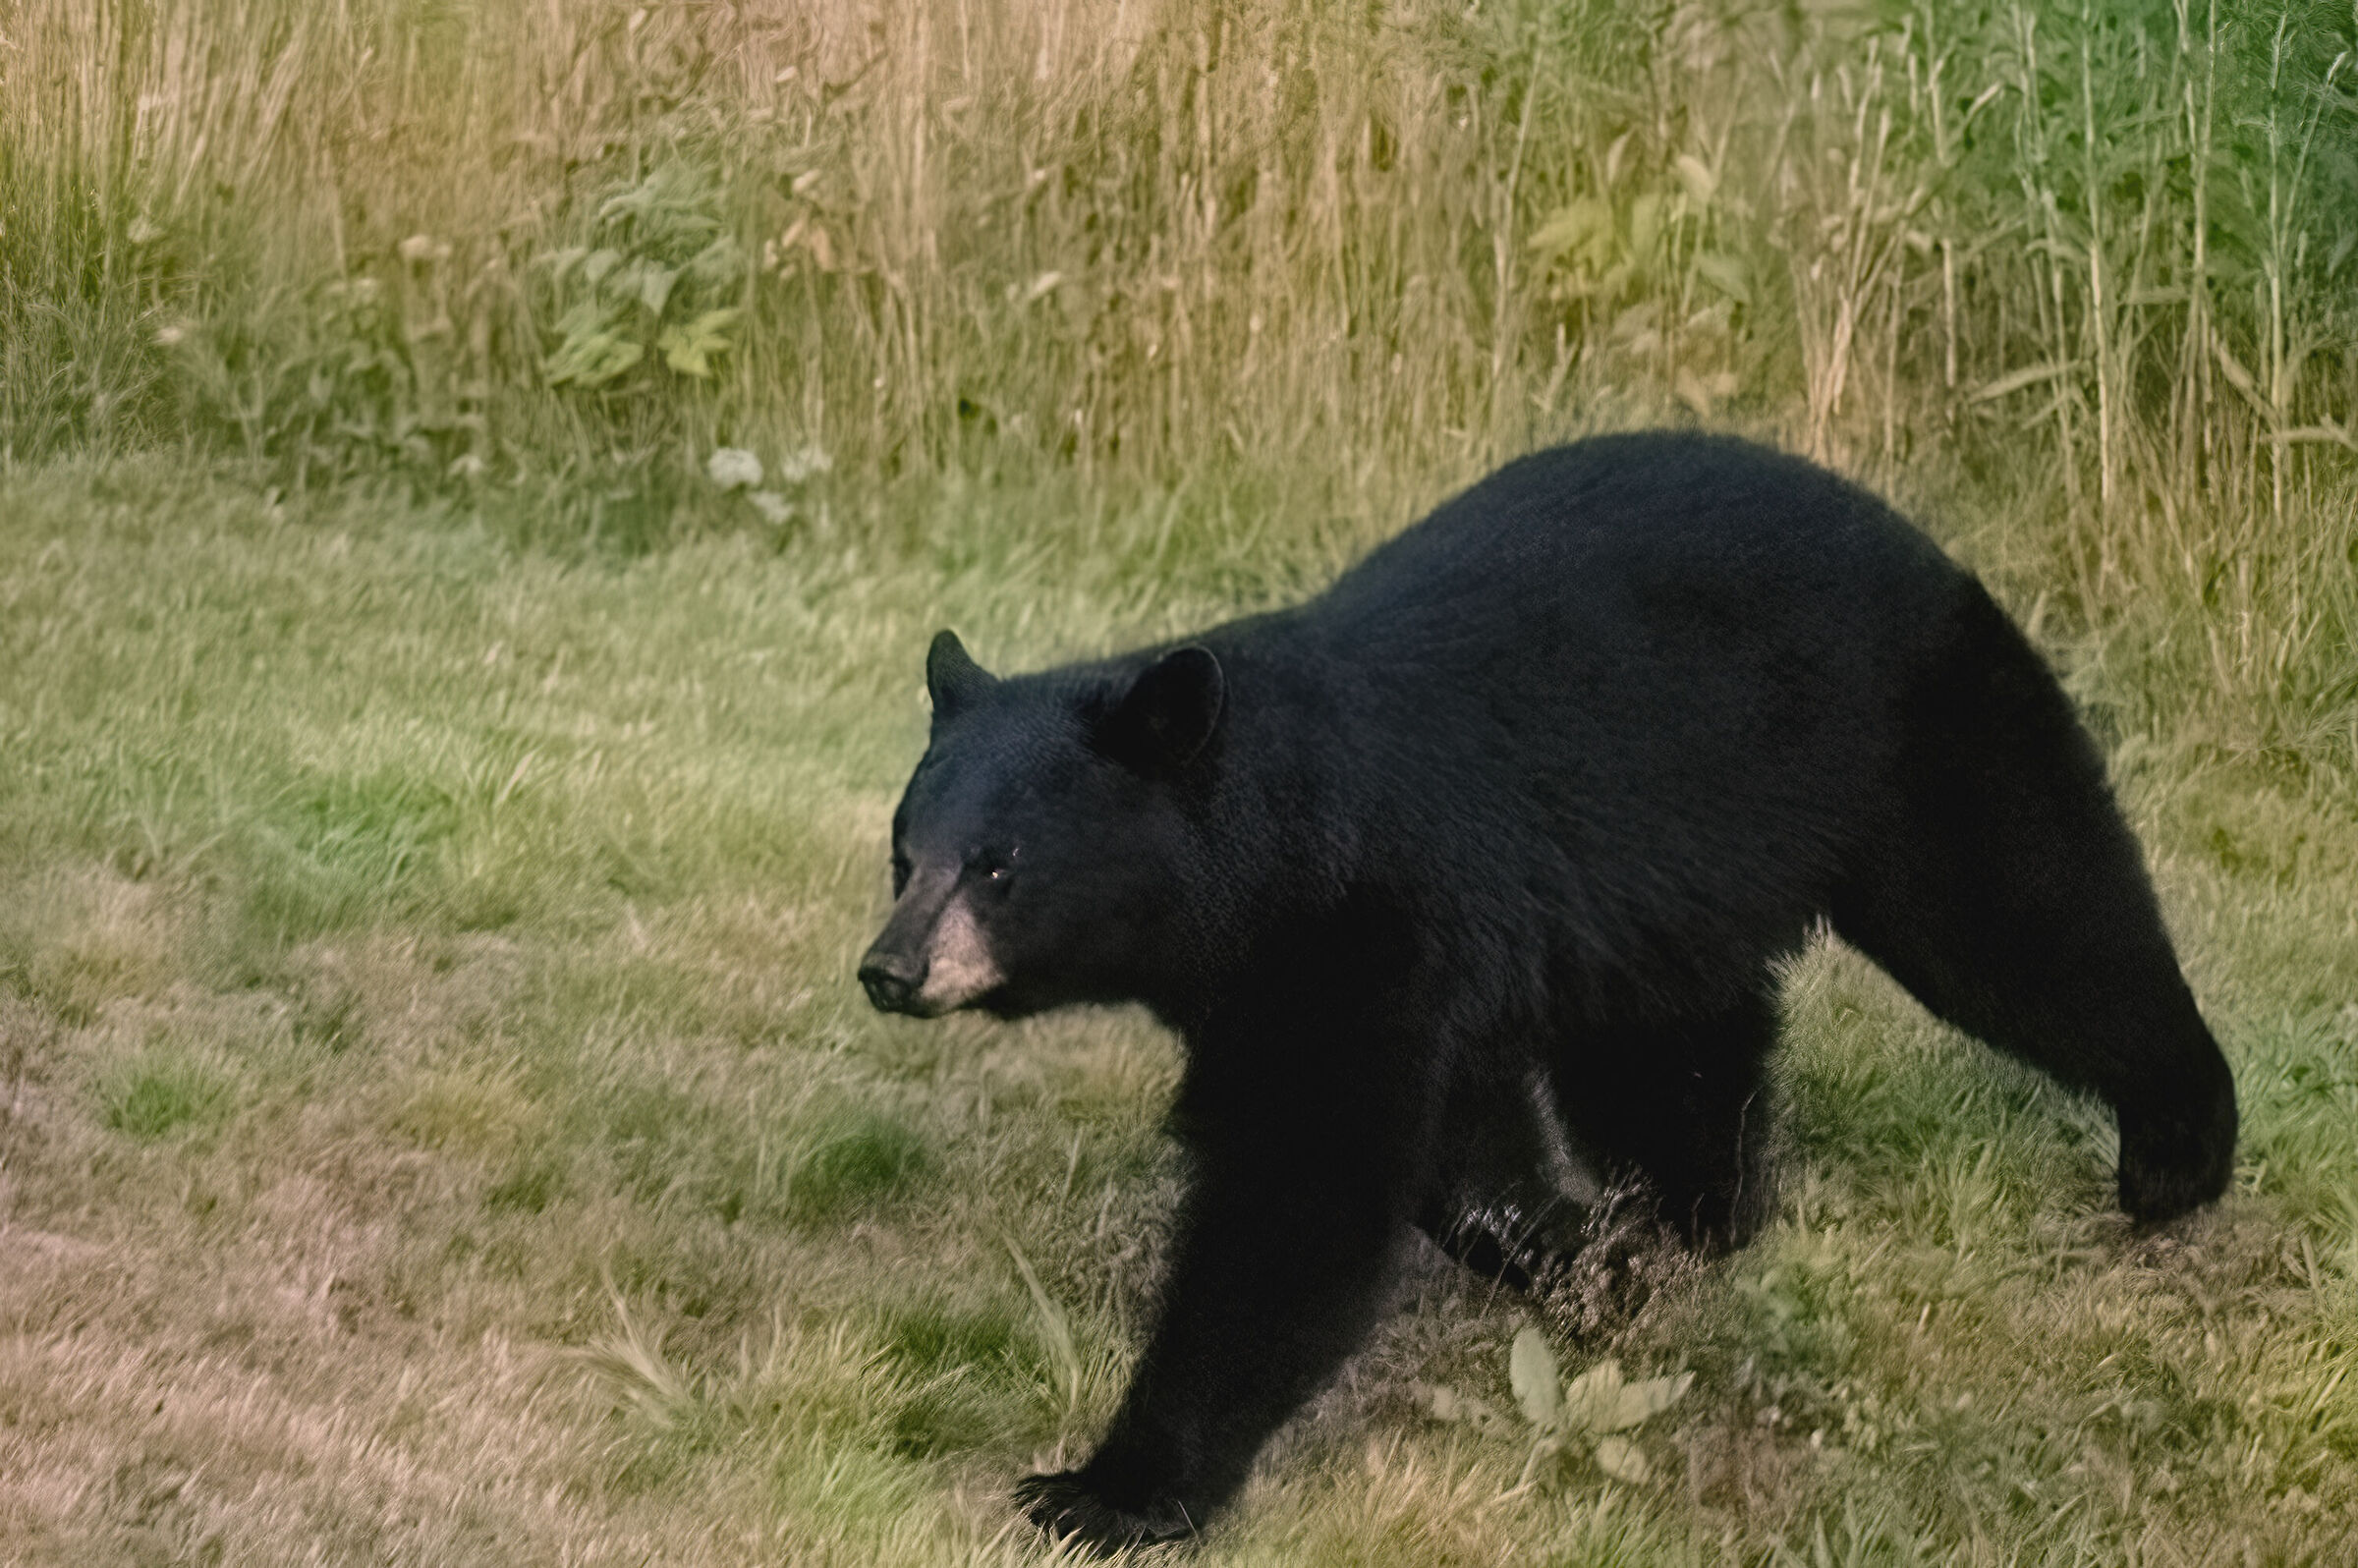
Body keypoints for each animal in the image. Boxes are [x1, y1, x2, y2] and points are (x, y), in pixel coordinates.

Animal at [856, 431, 2238, 1552]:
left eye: (998, 865)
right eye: (905, 850)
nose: (889, 969)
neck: (1280, 846)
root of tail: (1911, 529)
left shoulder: (1367, 919)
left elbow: (1306, 1188)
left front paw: (1109, 1489)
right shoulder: (1382, 957)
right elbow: (1458, 1155)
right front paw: (1591, 1263)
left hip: (1909, 735)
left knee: (2027, 913)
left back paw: (2178, 1145)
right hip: (1659, 891)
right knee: (1682, 1045)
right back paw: (1701, 1215)